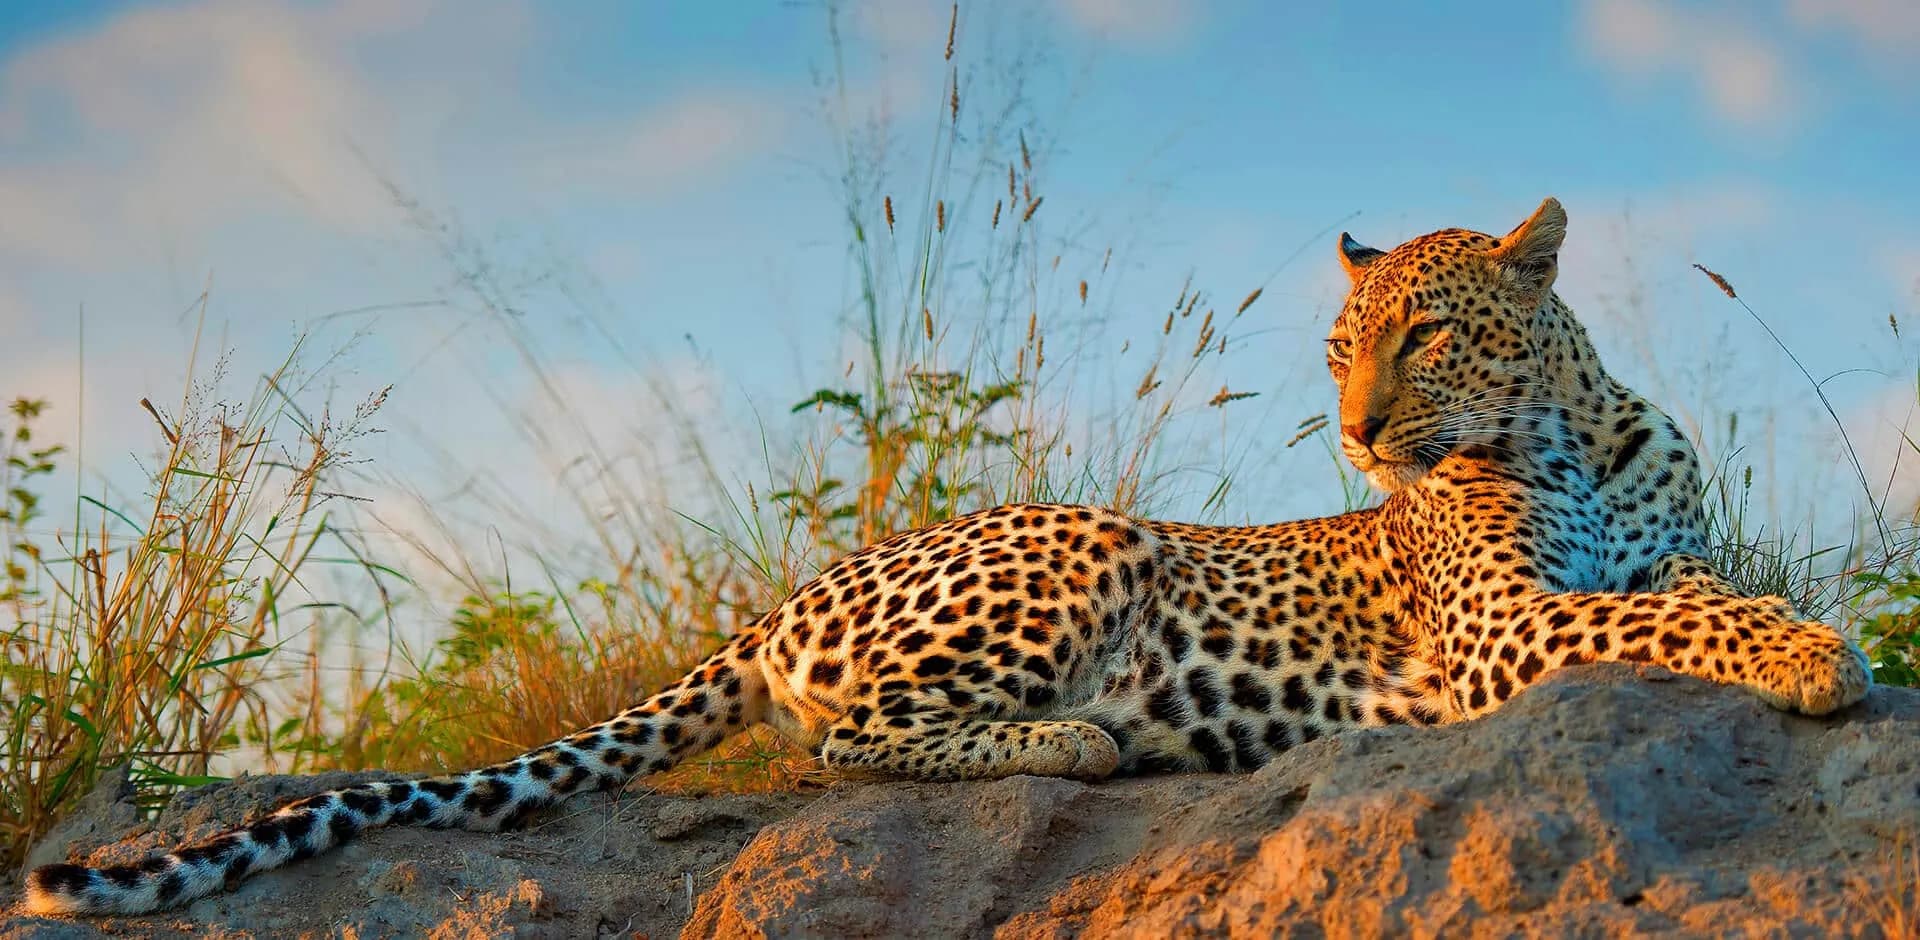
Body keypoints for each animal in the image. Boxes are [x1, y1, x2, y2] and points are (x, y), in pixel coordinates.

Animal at [24, 197, 1871, 917]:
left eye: (1423, 333)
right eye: (1341, 346)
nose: (1353, 433)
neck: (1572, 431)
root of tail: (797, 583)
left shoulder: (1619, 567)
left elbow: (1696, 592)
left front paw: (1797, 625)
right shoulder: (1490, 640)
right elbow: (1666, 628)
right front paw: (1814, 658)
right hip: (1079, 536)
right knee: (839, 734)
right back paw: (1088, 735)